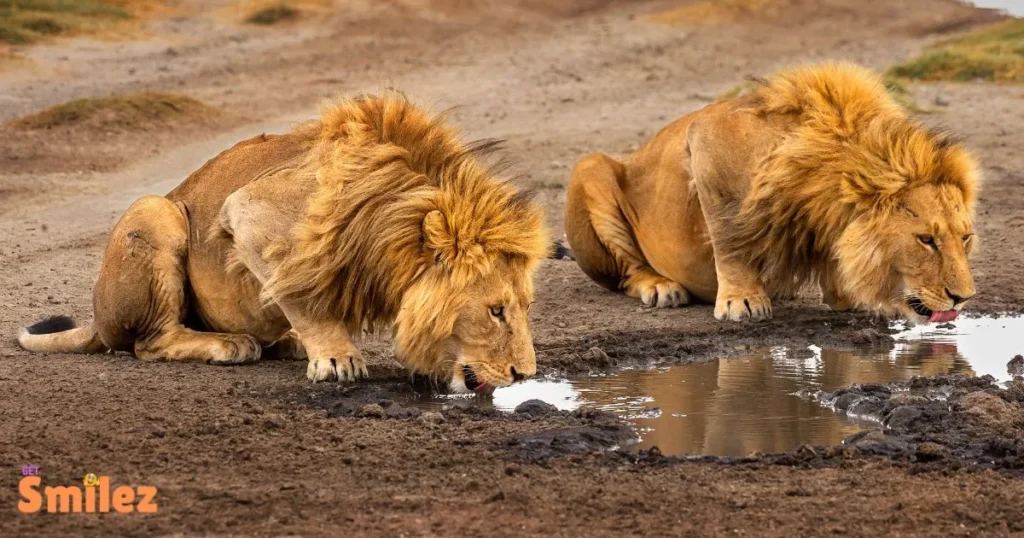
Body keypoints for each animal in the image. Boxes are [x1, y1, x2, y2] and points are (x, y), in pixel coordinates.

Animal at [17, 93, 551, 392]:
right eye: (496, 311)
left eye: (524, 308)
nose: (525, 376)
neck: (389, 211)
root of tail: (97, 317)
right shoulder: (248, 212)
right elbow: (304, 297)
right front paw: (337, 359)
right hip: (157, 212)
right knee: (149, 342)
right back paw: (231, 344)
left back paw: (284, 343)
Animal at [565, 62, 978, 323]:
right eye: (926, 240)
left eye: (966, 238)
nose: (963, 299)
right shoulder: (705, 141)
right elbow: (729, 239)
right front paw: (742, 301)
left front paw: (848, 296)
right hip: (590, 167)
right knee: (626, 274)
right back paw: (661, 287)